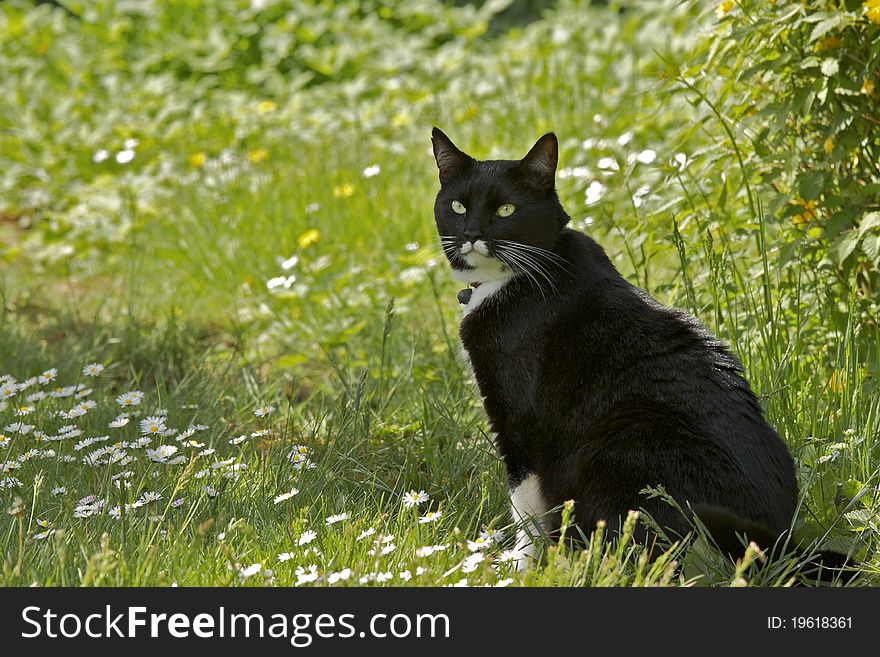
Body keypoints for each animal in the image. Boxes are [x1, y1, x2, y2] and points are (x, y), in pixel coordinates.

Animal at [430, 128, 800, 568]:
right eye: (457, 205)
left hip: (626, 436)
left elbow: (526, 502)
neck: (515, 278)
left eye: (506, 209)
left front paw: (521, 566)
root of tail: (780, 544)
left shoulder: (517, 412)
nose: (471, 234)